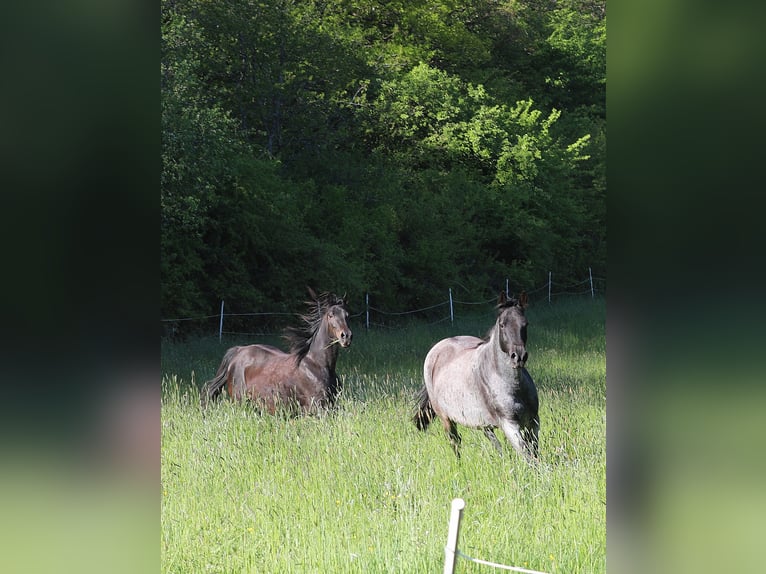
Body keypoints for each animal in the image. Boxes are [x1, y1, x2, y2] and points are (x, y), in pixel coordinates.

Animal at [200, 289, 352, 414]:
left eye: (347, 315)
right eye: (331, 315)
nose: (346, 336)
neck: (318, 365)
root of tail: (238, 351)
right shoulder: (317, 408)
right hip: (241, 403)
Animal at [413, 291, 539, 463]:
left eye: (525, 324)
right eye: (502, 324)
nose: (518, 357)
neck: (514, 386)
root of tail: (437, 348)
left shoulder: (533, 422)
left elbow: (534, 454)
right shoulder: (510, 425)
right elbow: (528, 456)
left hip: (483, 422)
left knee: (493, 442)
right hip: (446, 419)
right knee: (455, 442)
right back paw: (459, 465)